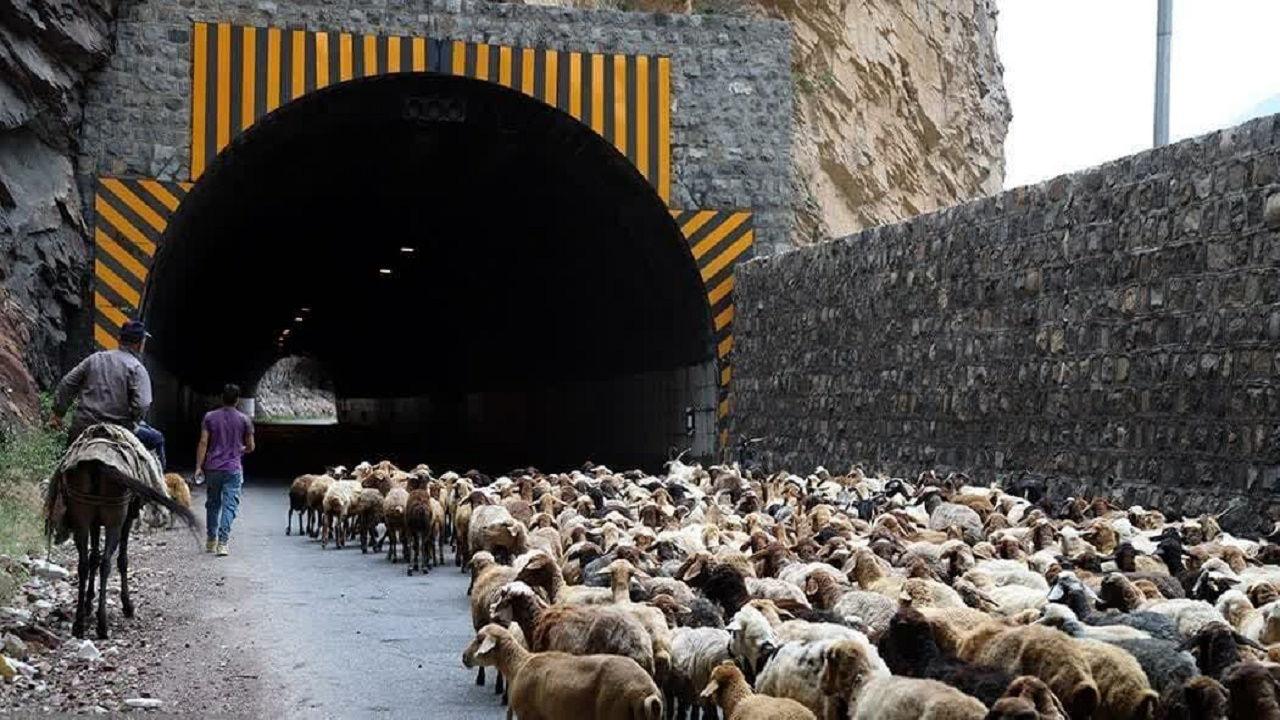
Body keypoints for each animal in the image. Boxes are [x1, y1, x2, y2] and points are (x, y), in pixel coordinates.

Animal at [463, 622, 665, 717]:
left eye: (479, 639)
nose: (464, 657)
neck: (518, 664)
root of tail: (648, 693)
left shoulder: (530, 715)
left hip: (614, 712)